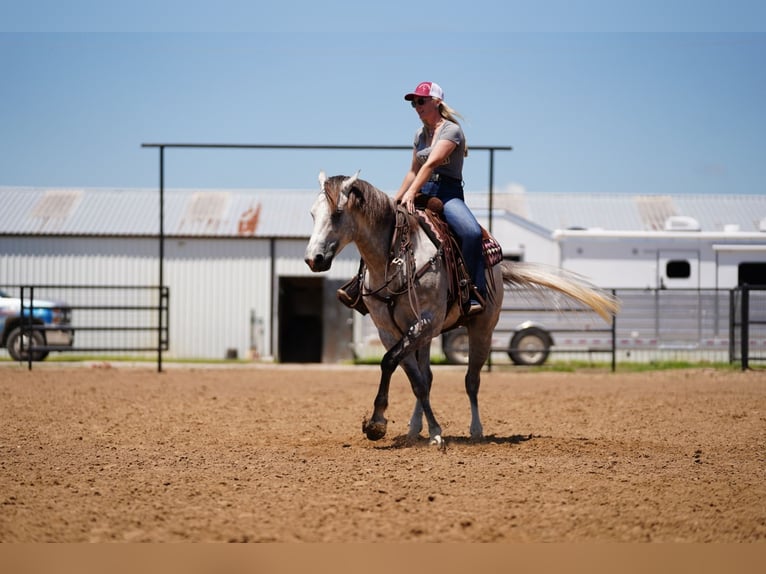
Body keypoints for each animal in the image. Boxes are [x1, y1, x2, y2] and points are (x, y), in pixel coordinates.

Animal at [304, 173, 616, 448]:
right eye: (312, 214)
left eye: (337, 214)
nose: (313, 258)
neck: (395, 261)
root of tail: (498, 265)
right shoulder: (389, 330)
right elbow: (415, 379)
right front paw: (428, 430)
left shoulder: (426, 322)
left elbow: (390, 363)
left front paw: (379, 423)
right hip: (426, 337)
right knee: (427, 378)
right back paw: (416, 428)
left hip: (482, 330)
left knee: (472, 380)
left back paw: (476, 430)